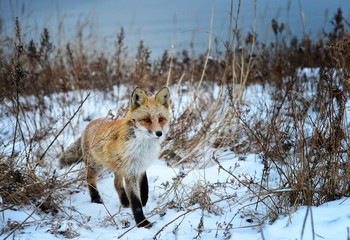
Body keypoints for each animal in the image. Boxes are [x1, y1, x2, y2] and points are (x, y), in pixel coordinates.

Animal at [59, 87, 170, 228]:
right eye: (147, 120)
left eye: (161, 119)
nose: (159, 133)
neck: (142, 145)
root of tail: (89, 125)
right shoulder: (130, 171)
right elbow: (135, 202)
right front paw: (142, 223)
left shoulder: (140, 165)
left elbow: (145, 184)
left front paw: (144, 199)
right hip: (96, 166)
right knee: (89, 179)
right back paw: (96, 199)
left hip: (117, 167)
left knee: (116, 184)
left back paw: (124, 202)